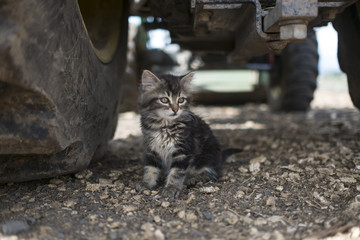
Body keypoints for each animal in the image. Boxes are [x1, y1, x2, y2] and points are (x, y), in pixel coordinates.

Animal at [136, 70, 233, 198]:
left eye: (181, 100)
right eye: (164, 100)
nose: (175, 109)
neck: (165, 125)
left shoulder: (183, 150)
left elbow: (177, 172)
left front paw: (171, 188)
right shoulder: (152, 149)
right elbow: (150, 168)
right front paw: (147, 184)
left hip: (207, 155)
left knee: (211, 173)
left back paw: (193, 178)